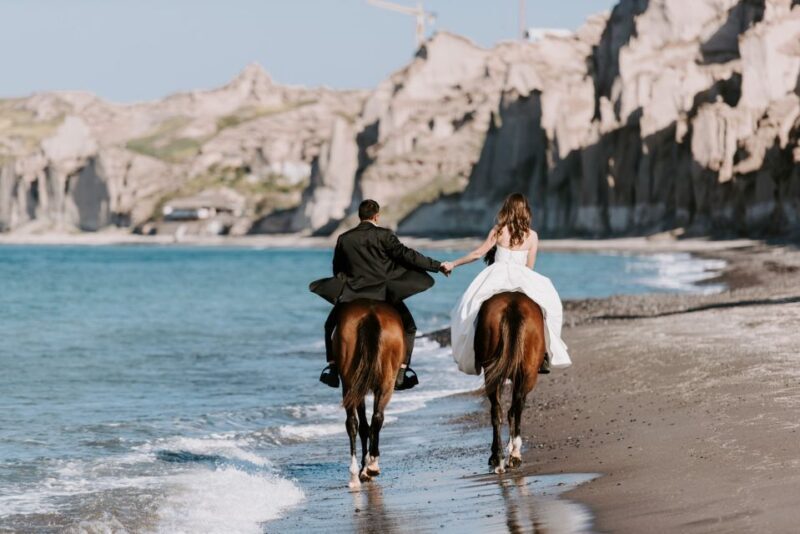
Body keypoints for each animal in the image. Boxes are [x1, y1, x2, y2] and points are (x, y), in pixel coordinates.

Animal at [333, 299, 406, 489]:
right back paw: (370, 466)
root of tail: (370, 315)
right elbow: (368, 425)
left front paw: (364, 468)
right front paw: (367, 467)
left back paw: (355, 474)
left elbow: (364, 426)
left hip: (352, 383)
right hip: (385, 383)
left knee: (354, 422)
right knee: (375, 418)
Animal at [474, 292, 546, 474]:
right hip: (528, 374)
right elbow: (515, 408)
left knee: (496, 411)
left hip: (492, 373)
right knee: (517, 408)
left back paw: (498, 458)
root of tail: (513, 307)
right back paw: (514, 455)